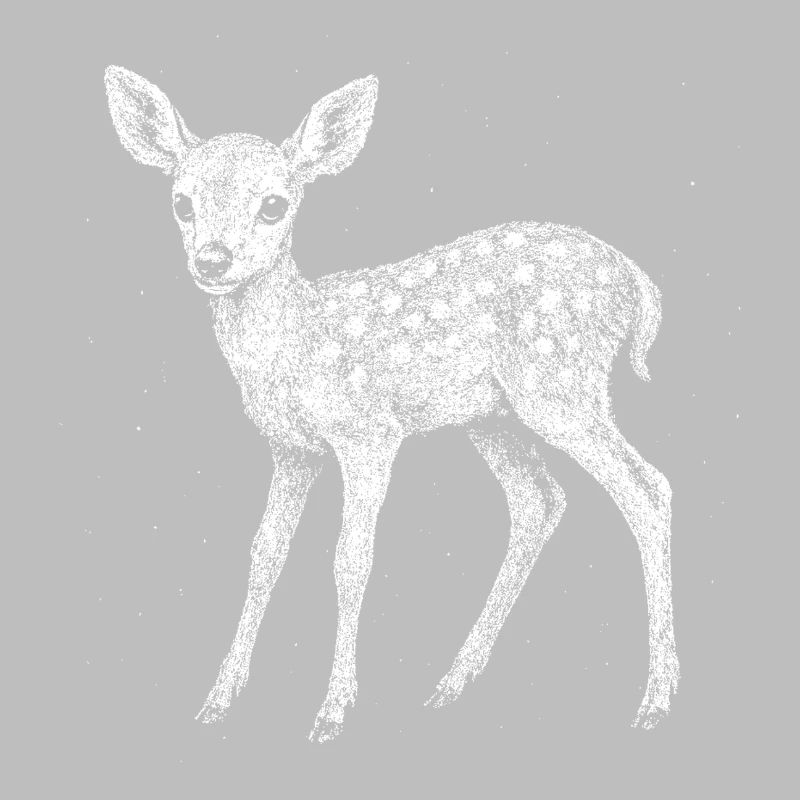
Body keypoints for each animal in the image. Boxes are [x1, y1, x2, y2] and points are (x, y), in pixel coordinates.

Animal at [104, 65, 679, 742]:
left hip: (561, 383)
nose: (213, 260)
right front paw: (219, 698)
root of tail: (639, 283)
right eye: (182, 202)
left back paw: (657, 699)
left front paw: (332, 709)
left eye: (274, 204)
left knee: (647, 488)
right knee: (539, 501)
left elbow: (350, 559)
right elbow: (265, 552)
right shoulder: (291, 449)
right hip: (495, 416)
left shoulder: (368, 433)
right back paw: (453, 681)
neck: (295, 344)